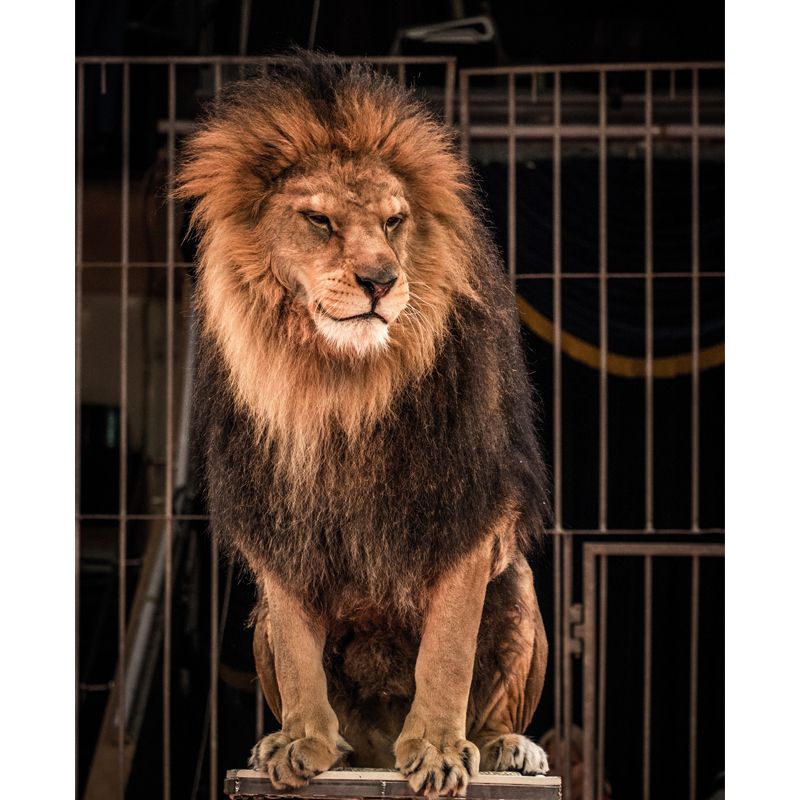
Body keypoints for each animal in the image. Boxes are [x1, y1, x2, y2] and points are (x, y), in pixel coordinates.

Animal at [176, 53, 551, 798]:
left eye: (395, 221)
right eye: (319, 220)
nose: (381, 280)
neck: (341, 384)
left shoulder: (466, 508)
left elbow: (446, 651)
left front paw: (438, 750)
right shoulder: (277, 514)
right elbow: (298, 650)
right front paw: (304, 743)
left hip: (519, 583)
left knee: (496, 708)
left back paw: (508, 748)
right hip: (257, 622)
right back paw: (300, 745)